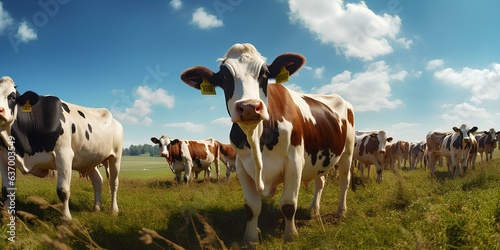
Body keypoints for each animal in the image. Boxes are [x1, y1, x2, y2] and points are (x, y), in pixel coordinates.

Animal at [0, 75, 122, 219]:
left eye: (12, 97)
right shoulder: (4, 160)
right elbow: (6, 190)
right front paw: (8, 216)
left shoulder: (64, 155)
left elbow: (63, 190)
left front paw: (66, 218)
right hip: (90, 160)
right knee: (98, 181)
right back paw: (96, 208)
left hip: (116, 156)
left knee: (113, 183)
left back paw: (114, 210)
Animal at [180, 43, 356, 244]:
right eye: (224, 77)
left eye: (264, 73)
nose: (249, 106)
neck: (257, 138)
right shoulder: (242, 166)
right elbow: (251, 207)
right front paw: (250, 239)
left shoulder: (294, 162)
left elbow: (288, 204)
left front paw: (290, 236)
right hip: (321, 155)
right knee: (320, 180)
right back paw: (313, 210)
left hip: (347, 151)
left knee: (344, 180)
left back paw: (341, 211)